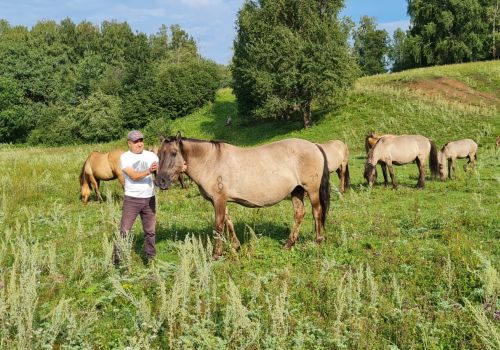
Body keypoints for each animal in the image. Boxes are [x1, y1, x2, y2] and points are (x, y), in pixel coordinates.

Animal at [154, 133, 330, 258]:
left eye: (174, 153)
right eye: (159, 154)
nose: (160, 181)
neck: (210, 161)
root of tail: (315, 146)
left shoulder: (219, 200)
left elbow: (219, 225)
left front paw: (216, 254)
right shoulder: (221, 200)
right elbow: (228, 221)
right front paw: (236, 246)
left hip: (312, 190)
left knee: (317, 212)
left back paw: (318, 241)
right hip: (297, 191)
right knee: (299, 214)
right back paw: (288, 244)